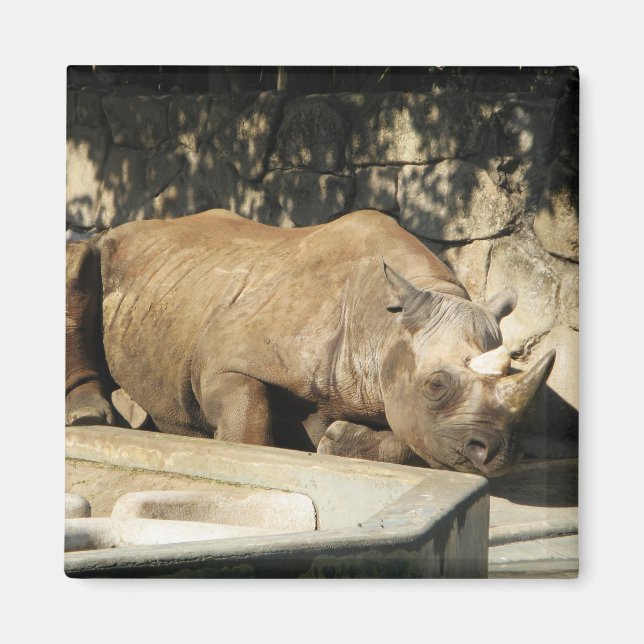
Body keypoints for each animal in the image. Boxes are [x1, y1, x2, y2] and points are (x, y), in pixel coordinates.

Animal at [66, 209, 555, 477]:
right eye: (435, 386)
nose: (498, 453)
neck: (384, 325)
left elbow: (410, 438)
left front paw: (336, 442)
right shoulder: (226, 361)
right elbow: (248, 423)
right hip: (106, 247)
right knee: (80, 258)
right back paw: (89, 417)